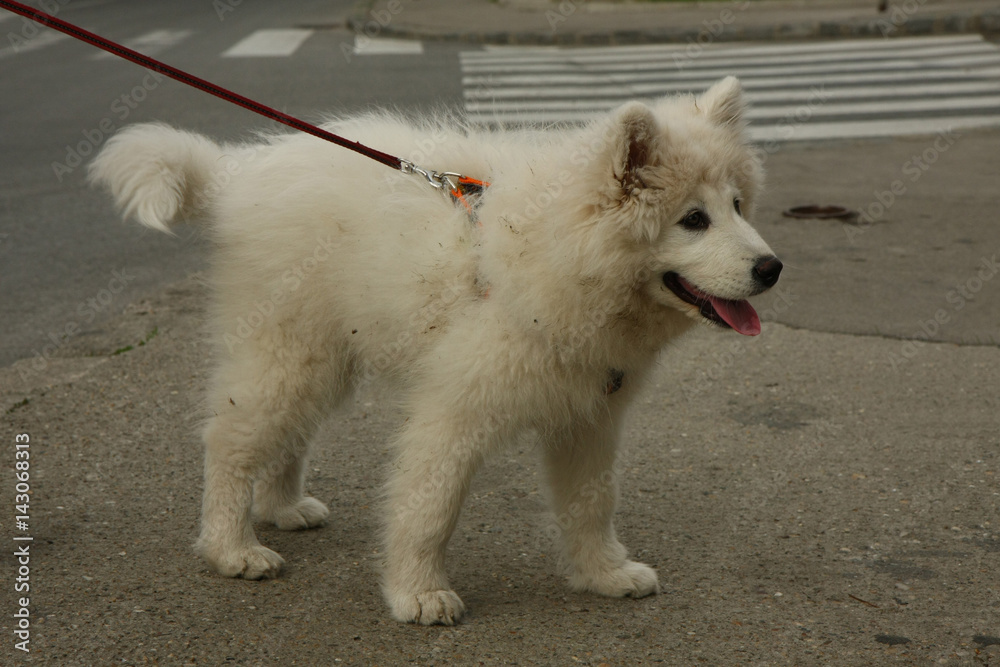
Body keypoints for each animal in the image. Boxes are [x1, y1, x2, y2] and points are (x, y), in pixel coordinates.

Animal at [90, 78, 780, 628]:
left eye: (737, 206)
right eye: (693, 220)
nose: (772, 268)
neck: (553, 252)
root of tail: (237, 174)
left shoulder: (587, 414)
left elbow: (592, 503)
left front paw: (603, 574)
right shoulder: (455, 409)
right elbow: (430, 507)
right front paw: (419, 595)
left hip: (324, 356)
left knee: (287, 433)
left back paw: (283, 508)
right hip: (288, 352)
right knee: (231, 440)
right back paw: (232, 548)